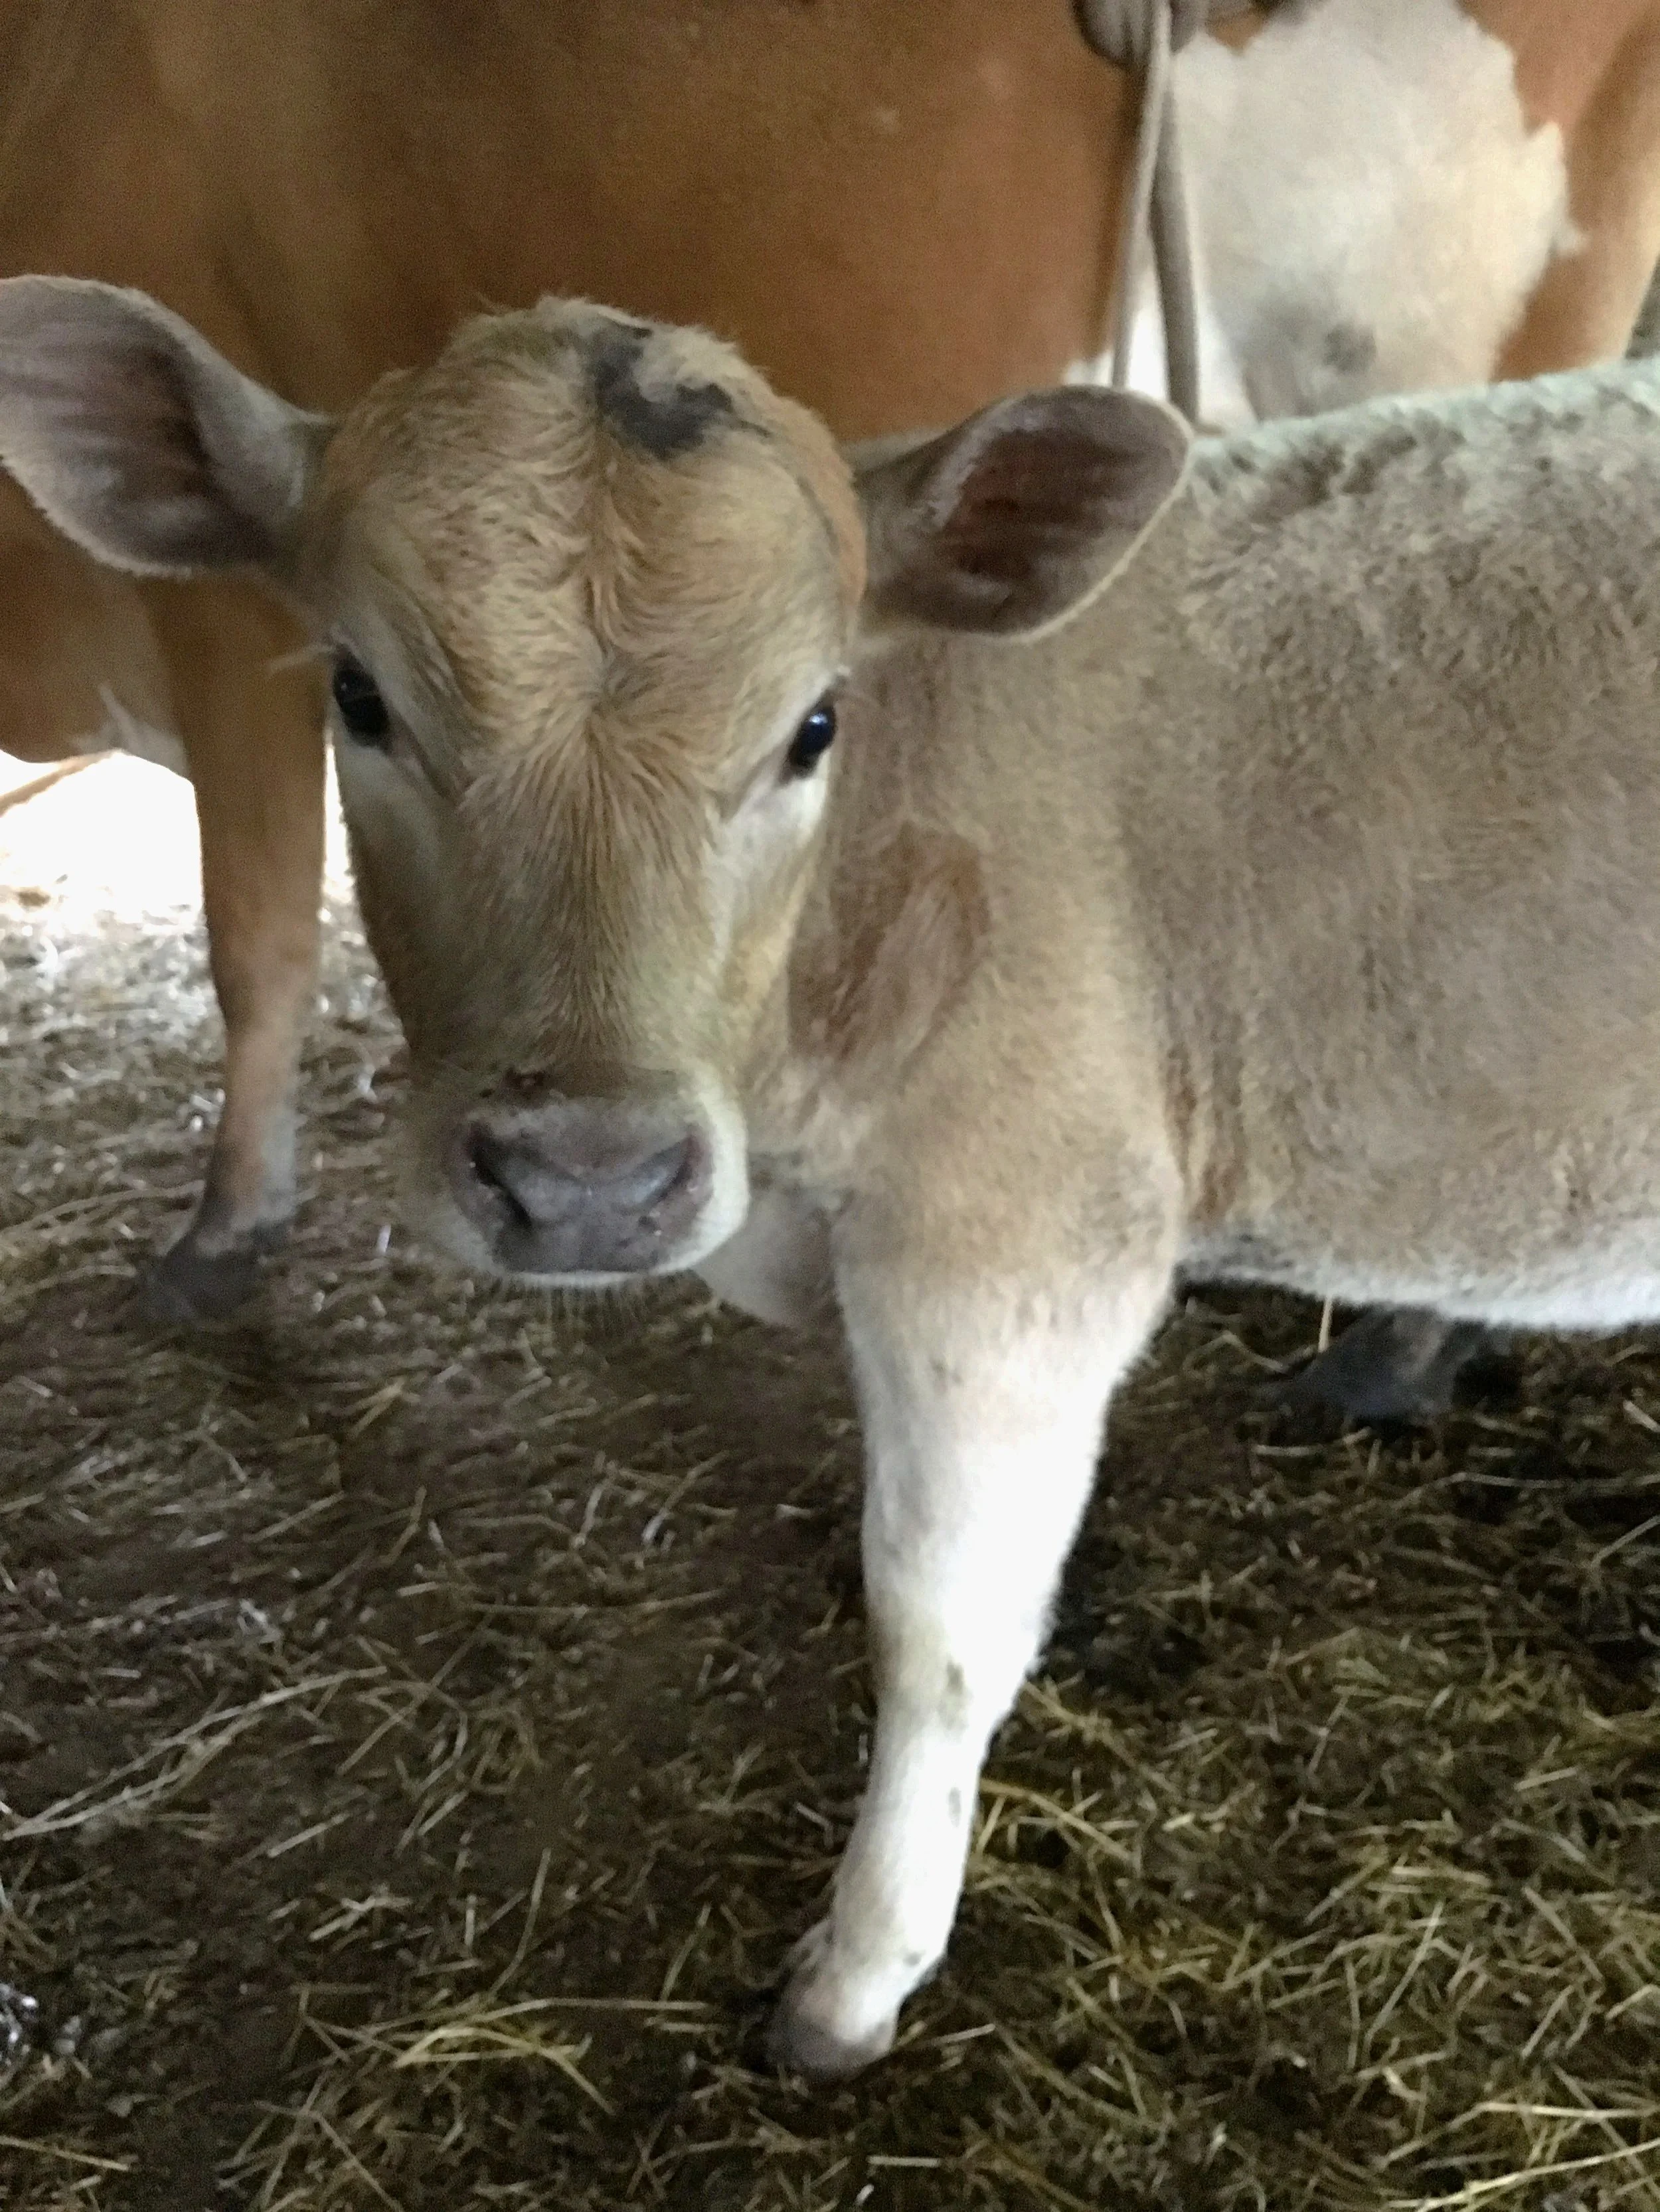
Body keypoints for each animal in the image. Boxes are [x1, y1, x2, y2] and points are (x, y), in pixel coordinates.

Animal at [2, 0, 1660, 1348]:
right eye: (366, 694)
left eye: (815, 724)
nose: (586, 1184)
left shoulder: (217, 638)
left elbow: (257, 943)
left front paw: (224, 1230)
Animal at [9, 279, 1660, 2078]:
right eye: (360, 698)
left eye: (812, 725)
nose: (586, 1180)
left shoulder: (1017, 1244)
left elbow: (937, 1631)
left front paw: (857, 1973)